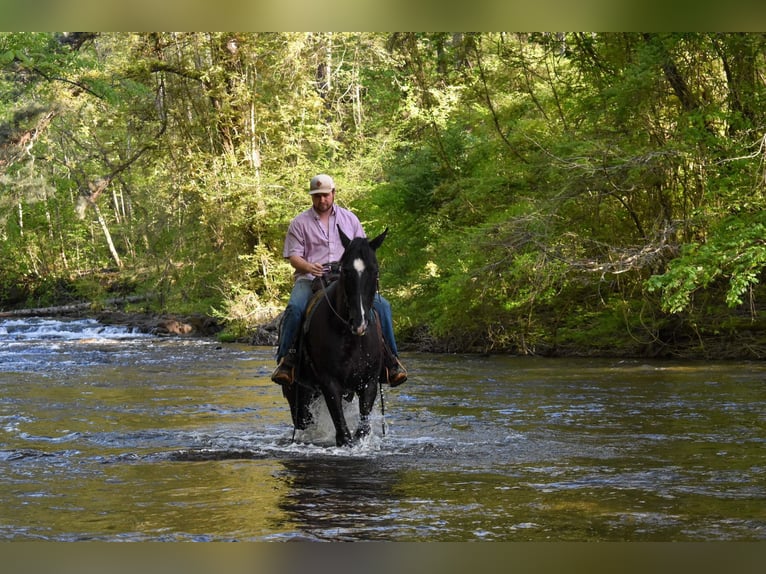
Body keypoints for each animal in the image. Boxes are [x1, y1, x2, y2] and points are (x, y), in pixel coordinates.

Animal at [284, 227, 388, 448]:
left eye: (374, 271)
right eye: (346, 270)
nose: (359, 323)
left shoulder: (369, 383)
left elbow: (362, 430)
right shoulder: (329, 383)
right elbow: (343, 435)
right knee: (302, 420)